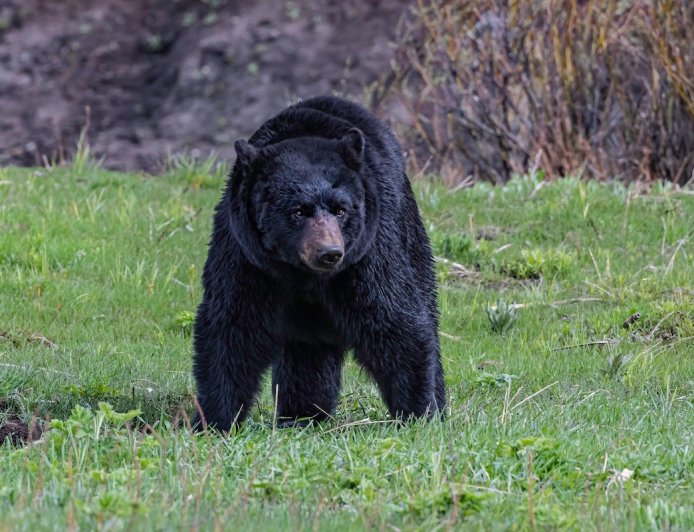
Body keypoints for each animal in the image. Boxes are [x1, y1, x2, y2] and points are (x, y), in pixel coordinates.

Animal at [192, 96, 445, 431]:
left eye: (341, 209)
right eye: (299, 211)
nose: (329, 252)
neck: (304, 275)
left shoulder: (367, 252)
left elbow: (393, 317)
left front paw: (418, 414)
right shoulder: (245, 254)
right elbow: (231, 323)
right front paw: (213, 420)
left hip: (408, 229)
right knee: (306, 351)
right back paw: (303, 413)